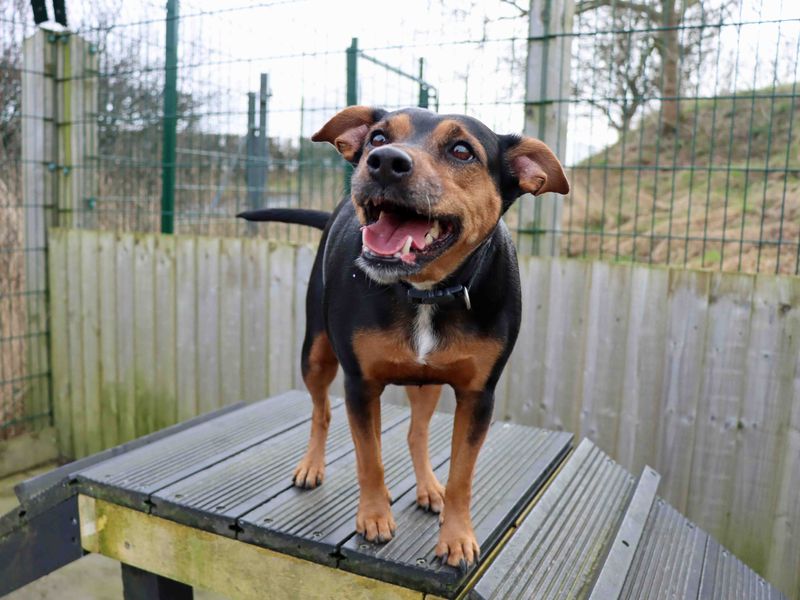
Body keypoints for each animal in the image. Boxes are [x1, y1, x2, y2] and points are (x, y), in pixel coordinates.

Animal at [238, 105, 568, 568]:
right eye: (378, 137)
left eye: (462, 150)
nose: (385, 162)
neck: (425, 290)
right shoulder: (360, 384)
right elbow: (369, 458)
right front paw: (374, 518)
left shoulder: (478, 396)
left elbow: (462, 474)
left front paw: (457, 537)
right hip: (316, 353)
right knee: (324, 413)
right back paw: (312, 467)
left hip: (425, 382)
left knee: (416, 434)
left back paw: (428, 487)